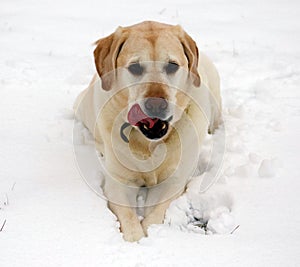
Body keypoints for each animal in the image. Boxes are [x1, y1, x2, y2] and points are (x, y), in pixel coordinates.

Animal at [74, 21, 221, 243]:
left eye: (172, 65)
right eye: (135, 67)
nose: (156, 105)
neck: (148, 145)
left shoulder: (173, 182)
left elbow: (155, 215)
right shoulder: (119, 183)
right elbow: (128, 215)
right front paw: (136, 238)